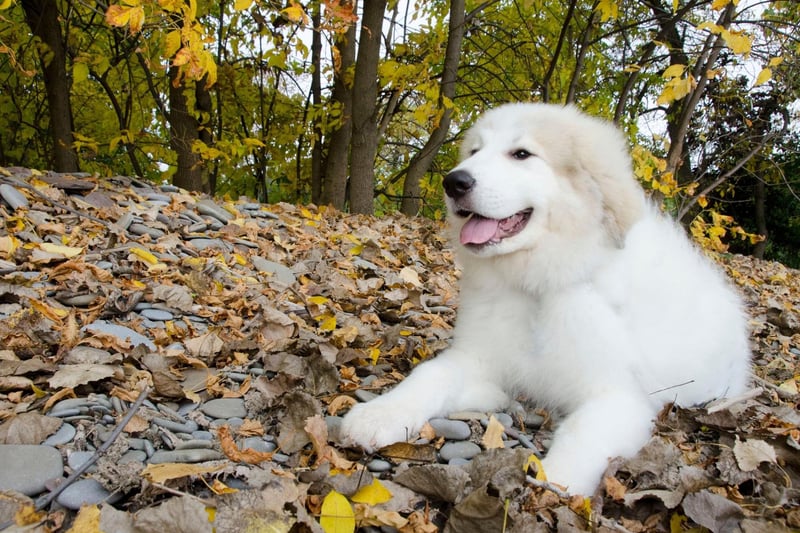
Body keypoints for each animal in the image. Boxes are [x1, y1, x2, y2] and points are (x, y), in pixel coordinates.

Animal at [340, 103, 752, 494]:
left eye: (521, 154)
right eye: (475, 151)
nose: (453, 181)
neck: (538, 285)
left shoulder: (620, 396)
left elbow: (583, 433)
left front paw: (553, 480)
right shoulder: (475, 357)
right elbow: (428, 376)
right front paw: (379, 415)